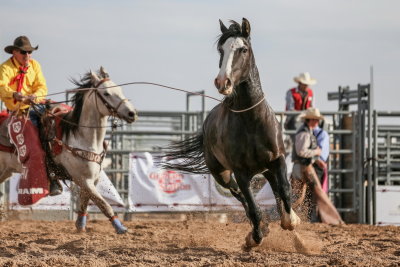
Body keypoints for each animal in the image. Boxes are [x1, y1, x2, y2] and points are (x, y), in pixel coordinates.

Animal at [0, 67, 137, 234]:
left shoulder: (92, 179)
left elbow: (85, 201)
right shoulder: (82, 179)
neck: (81, 137)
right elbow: (103, 204)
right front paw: (120, 227)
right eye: (106, 93)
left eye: (120, 89)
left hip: (5, 171)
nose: (131, 113)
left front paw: (80, 226)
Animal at [163, 18, 300, 249]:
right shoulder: (240, 173)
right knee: (242, 199)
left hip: (265, 169)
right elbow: (253, 207)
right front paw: (254, 237)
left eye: (243, 49)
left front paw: (292, 221)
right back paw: (258, 230)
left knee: (275, 190)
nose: (222, 82)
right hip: (223, 175)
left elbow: (285, 189)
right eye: (221, 49)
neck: (252, 121)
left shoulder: (278, 159)